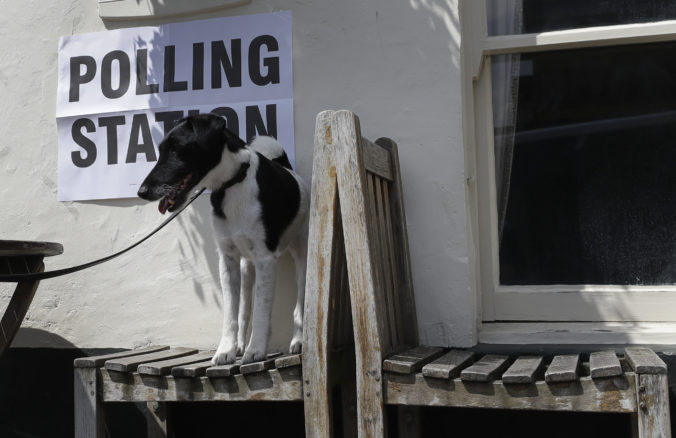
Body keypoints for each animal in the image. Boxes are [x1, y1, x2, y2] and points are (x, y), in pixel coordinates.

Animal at [139, 112, 310, 362]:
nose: (142, 192)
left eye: (176, 148)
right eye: (160, 150)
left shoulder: (265, 259)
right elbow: (232, 313)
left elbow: (262, 310)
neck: (232, 184)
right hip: (247, 266)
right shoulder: (228, 259)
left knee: (300, 303)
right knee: (245, 309)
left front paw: (256, 349)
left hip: (302, 256)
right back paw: (239, 345)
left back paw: (298, 340)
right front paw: (227, 349)